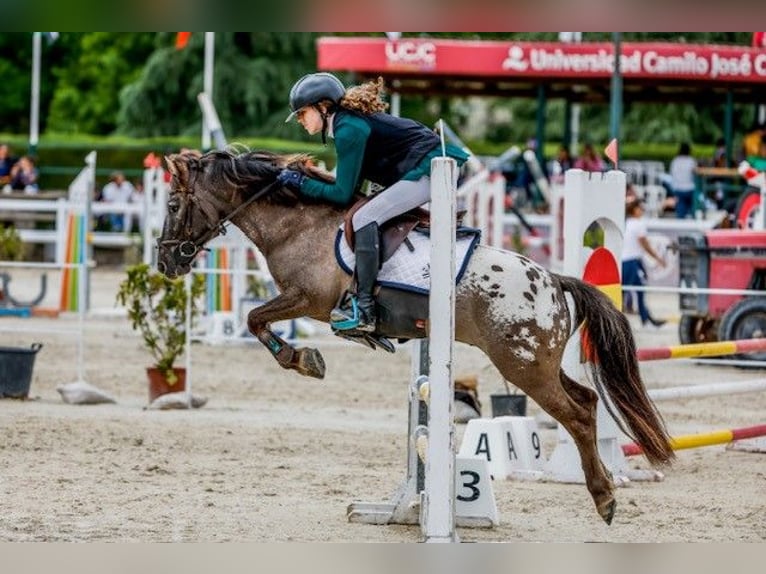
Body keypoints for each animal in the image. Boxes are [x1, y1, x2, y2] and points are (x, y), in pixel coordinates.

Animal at [159, 150, 676, 528]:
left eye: (172, 206)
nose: (167, 263)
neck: (296, 224)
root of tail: (552, 279)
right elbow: (255, 319)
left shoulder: (307, 299)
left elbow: (253, 319)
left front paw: (303, 358)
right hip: (538, 364)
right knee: (586, 401)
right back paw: (603, 490)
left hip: (523, 366)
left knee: (577, 414)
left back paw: (604, 498)